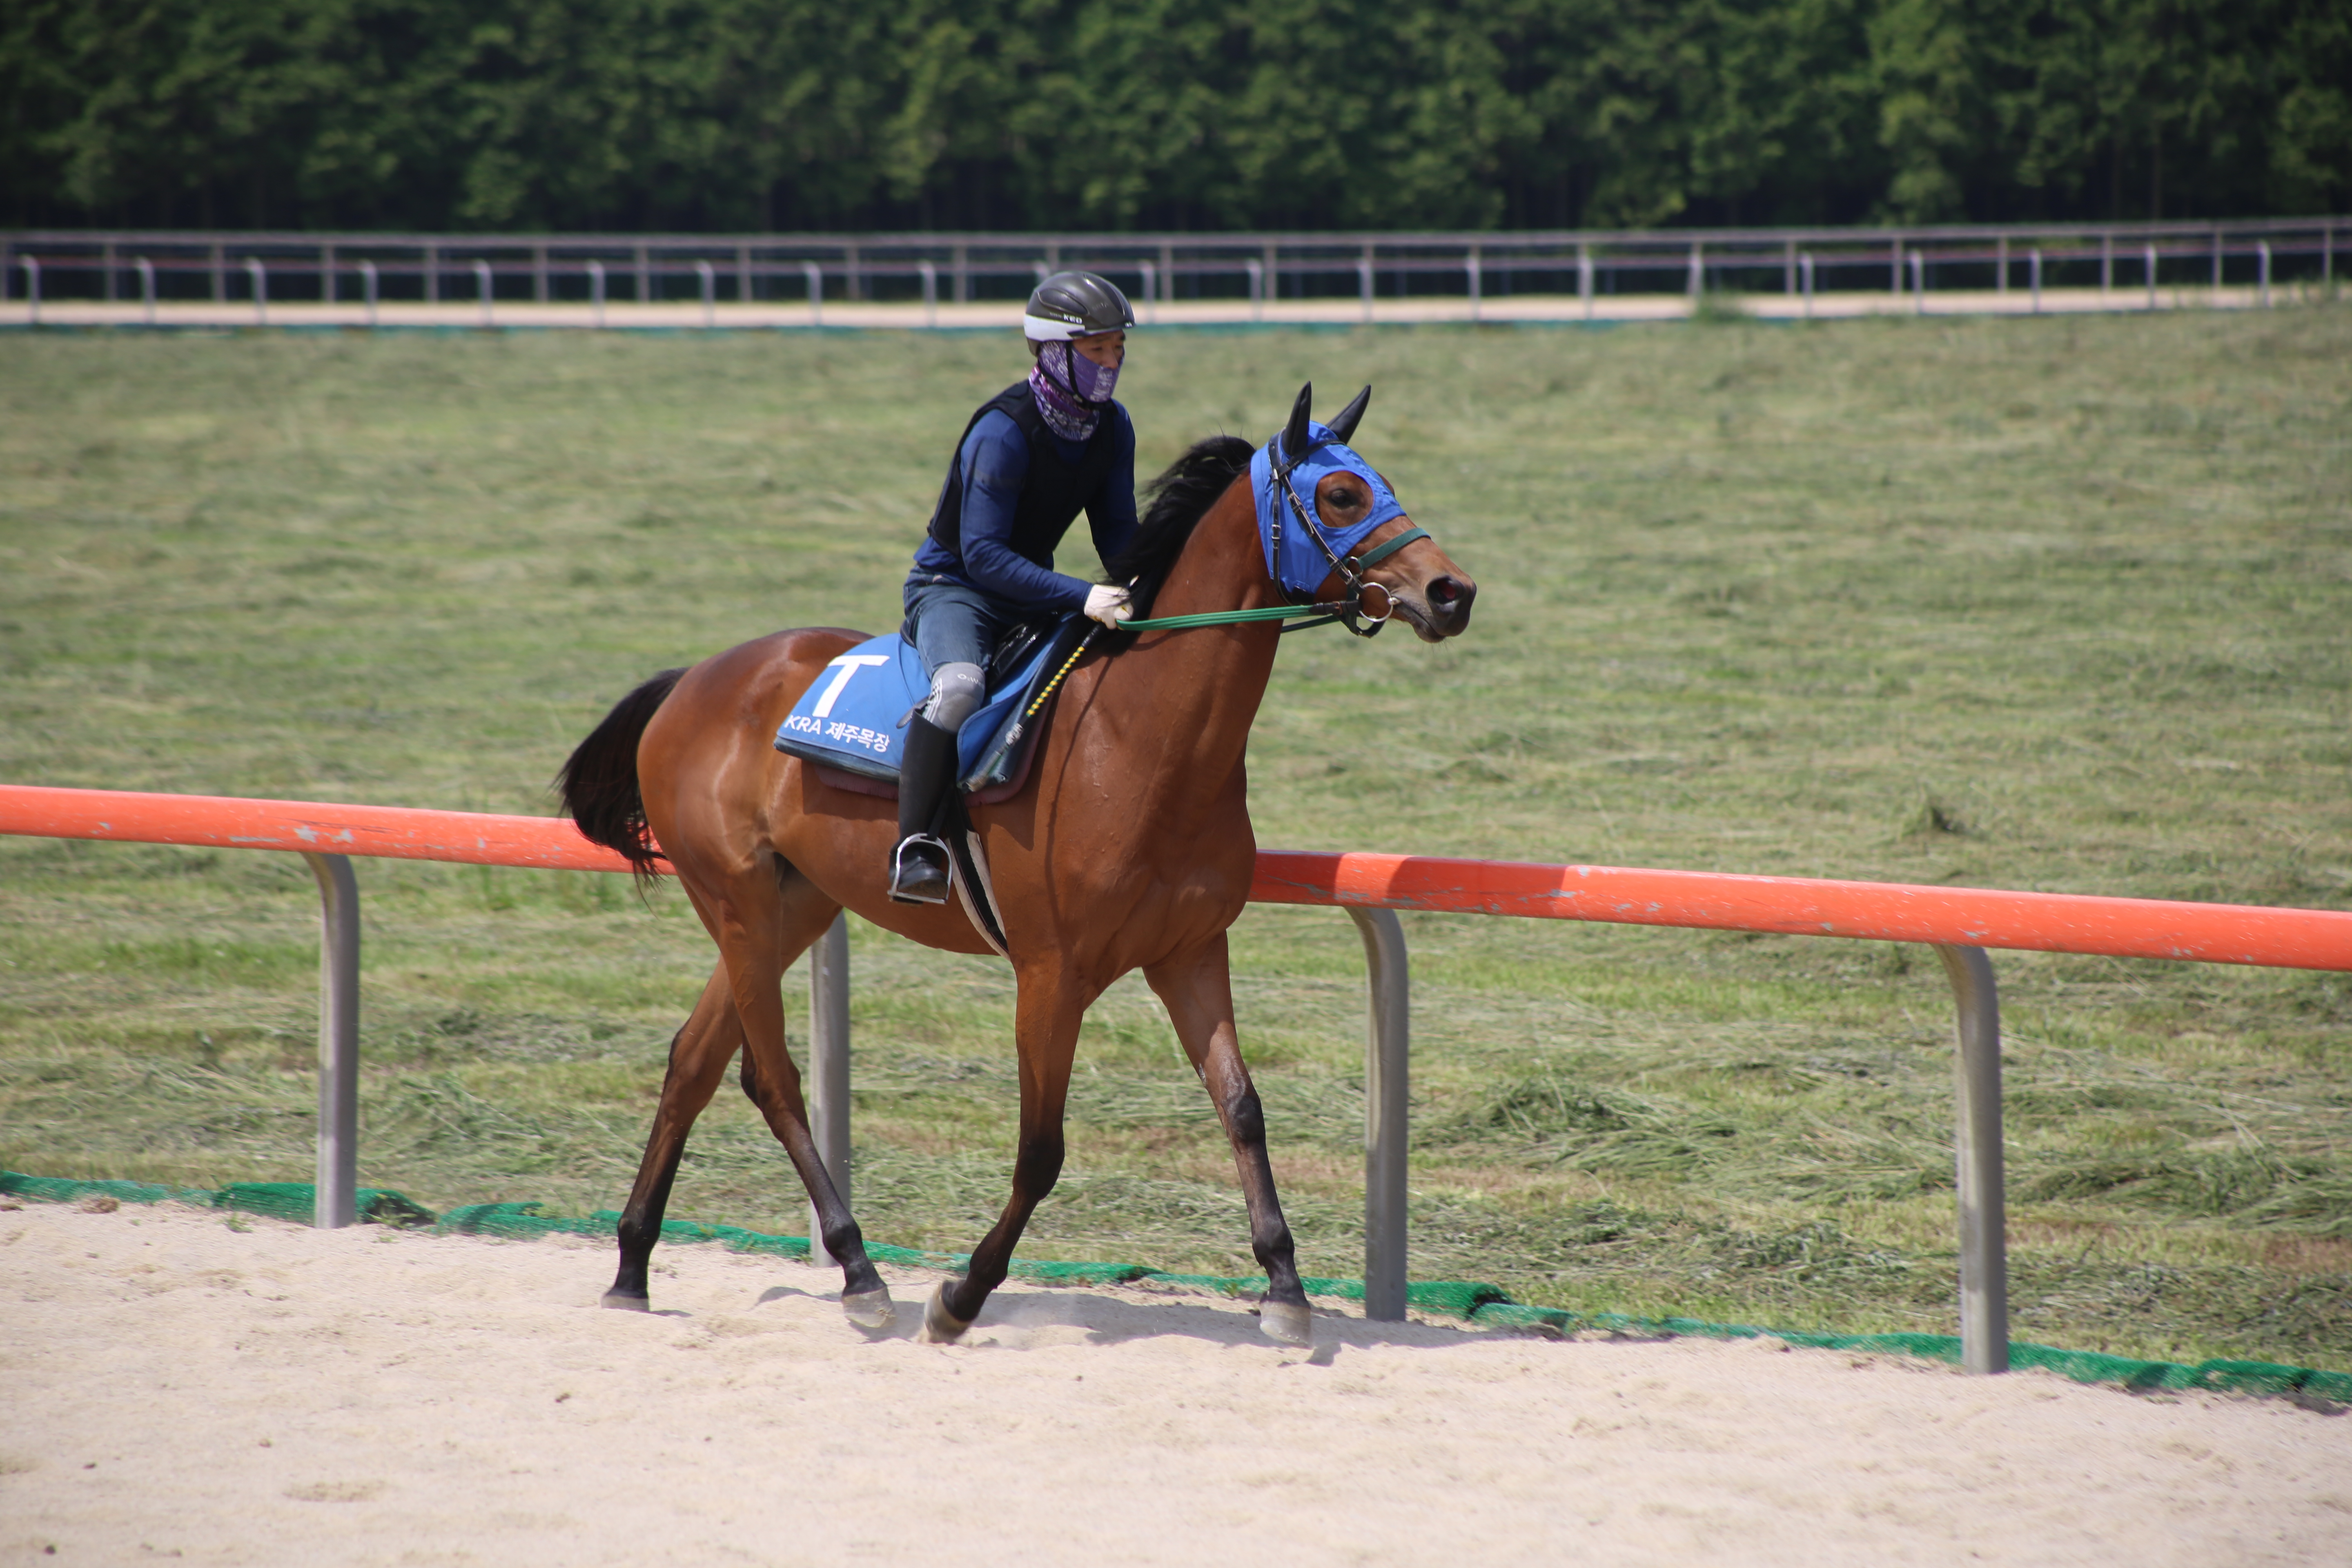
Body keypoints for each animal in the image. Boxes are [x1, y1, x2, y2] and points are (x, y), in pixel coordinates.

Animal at [555, 383, 1468, 1354]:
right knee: (771, 1080)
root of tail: (694, 679)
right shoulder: (1051, 973)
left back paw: (632, 1264)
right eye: (1340, 494)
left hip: (789, 907)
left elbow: (1242, 1107)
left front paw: (1287, 1287)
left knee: (693, 1060)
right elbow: (1042, 1149)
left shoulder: (1189, 952)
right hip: (736, 901)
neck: (1140, 740)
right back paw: (859, 1271)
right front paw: (961, 1294)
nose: (1452, 591)